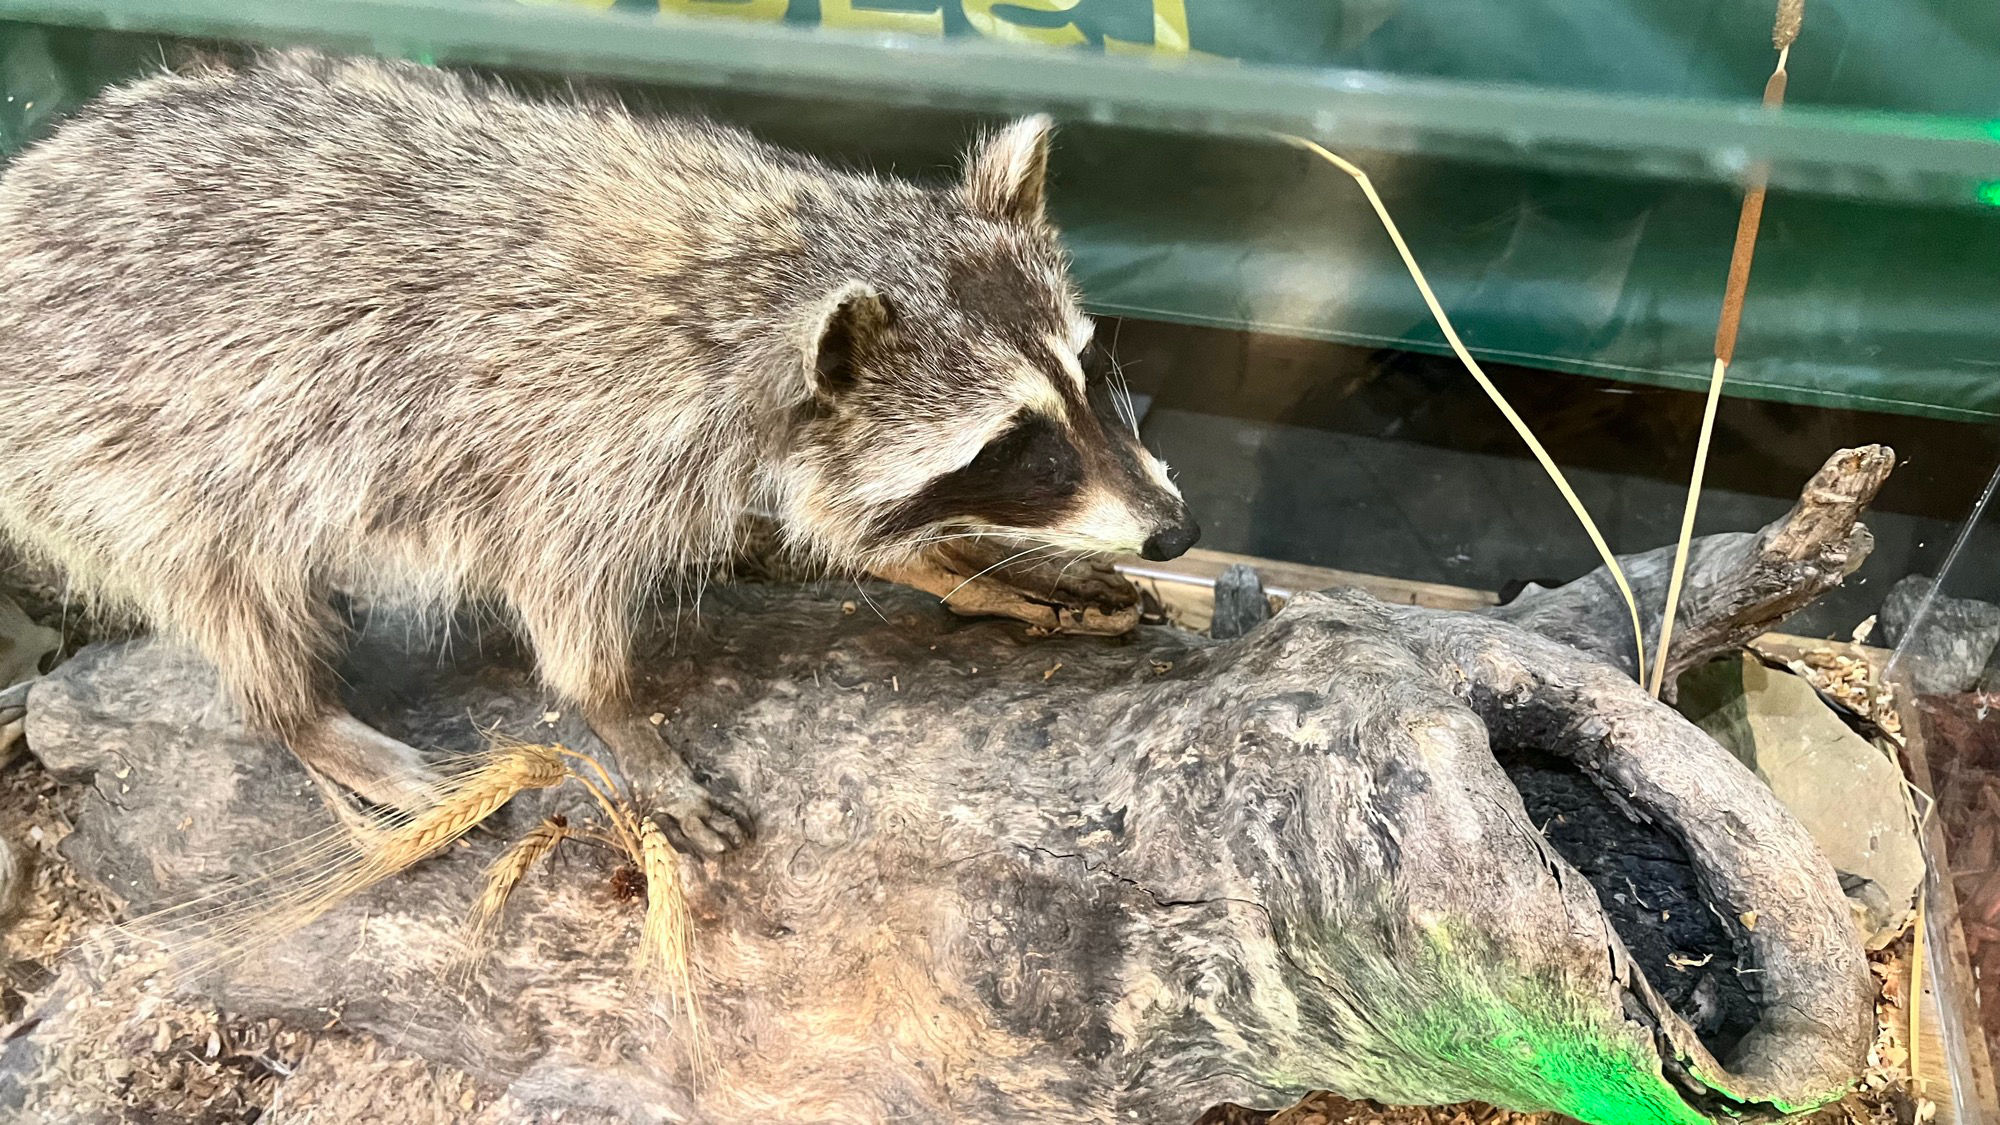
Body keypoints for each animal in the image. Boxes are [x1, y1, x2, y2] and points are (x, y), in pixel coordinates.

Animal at [0, 50, 1192, 848]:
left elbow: (811, 527)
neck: (777, 265)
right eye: (1018, 444)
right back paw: (300, 715)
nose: (1175, 532)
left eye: (1091, 375)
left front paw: (971, 562)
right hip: (119, 452)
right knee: (225, 588)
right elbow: (561, 589)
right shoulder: (576, 439)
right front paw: (618, 712)